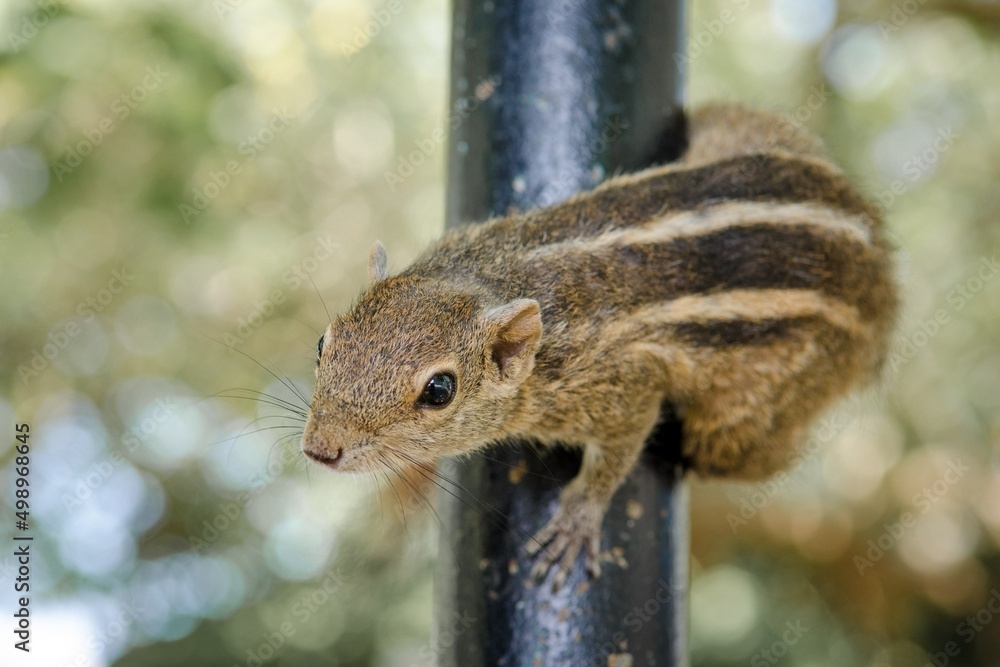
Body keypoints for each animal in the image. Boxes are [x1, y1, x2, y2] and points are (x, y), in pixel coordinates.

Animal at [302, 103, 900, 584]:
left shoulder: (622, 383)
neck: (487, 275)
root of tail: (883, 278)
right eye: (323, 342)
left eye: (439, 390)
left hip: (751, 414)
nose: (320, 450)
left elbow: (617, 452)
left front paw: (577, 521)